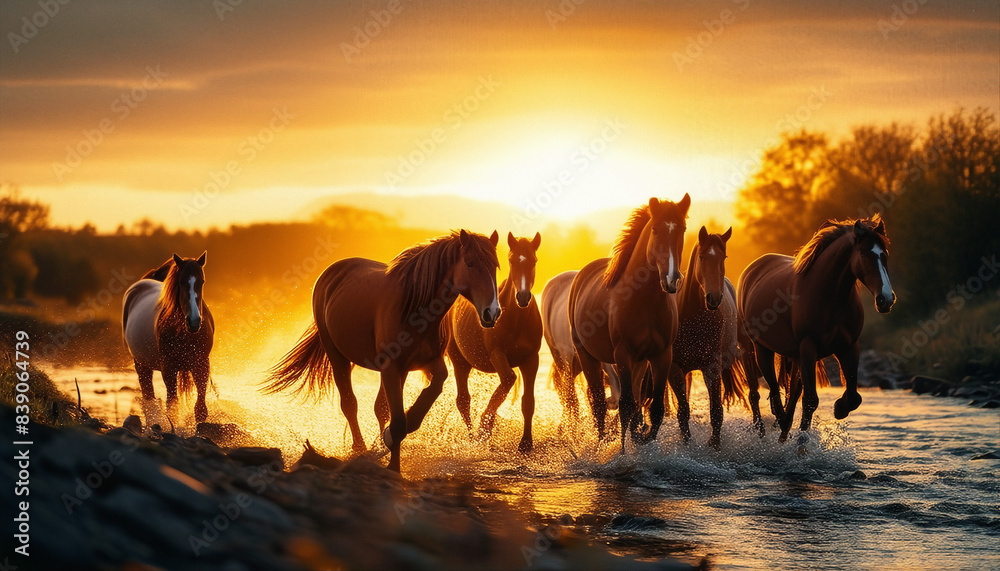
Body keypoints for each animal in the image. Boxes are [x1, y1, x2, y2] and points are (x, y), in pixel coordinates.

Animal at [123, 252, 214, 425]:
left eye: (201, 281)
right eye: (181, 282)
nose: (194, 321)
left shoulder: (201, 364)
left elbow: (200, 408)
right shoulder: (169, 368)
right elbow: (172, 406)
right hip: (141, 366)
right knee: (149, 401)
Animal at [264, 230, 501, 472]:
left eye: (495, 266)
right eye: (469, 263)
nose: (492, 312)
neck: (415, 308)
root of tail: (332, 272)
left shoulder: (427, 363)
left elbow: (422, 398)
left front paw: (389, 441)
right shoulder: (391, 367)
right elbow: (397, 422)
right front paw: (392, 465)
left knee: (379, 408)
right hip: (337, 357)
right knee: (349, 404)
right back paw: (360, 449)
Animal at [445, 232, 542, 453]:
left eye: (534, 261)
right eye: (512, 260)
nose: (523, 297)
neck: (517, 319)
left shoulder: (531, 360)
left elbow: (528, 402)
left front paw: (526, 443)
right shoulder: (497, 355)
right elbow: (508, 380)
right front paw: (485, 427)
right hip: (459, 361)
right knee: (463, 401)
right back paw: (473, 438)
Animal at [568, 194, 691, 451]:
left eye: (682, 229)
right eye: (655, 229)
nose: (671, 279)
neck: (644, 300)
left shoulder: (662, 356)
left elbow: (654, 409)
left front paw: (642, 439)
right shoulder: (622, 354)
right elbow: (624, 407)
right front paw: (623, 452)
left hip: (639, 362)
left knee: (634, 399)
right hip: (587, 355)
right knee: (598, 404)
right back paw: (601, 443)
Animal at [736, 215, 895, 442]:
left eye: (885, 254)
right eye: (865, 253)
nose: (886, 299)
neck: (830, 297)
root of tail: (752, 269)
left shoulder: (849, 347)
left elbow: (853, 397)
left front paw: (839, 408)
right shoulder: (808, 348)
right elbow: (810, 400)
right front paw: (801, 441)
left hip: (792, 357)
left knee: (789, 393)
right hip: (755, 349)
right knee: (762, 393)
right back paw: (767, 430)